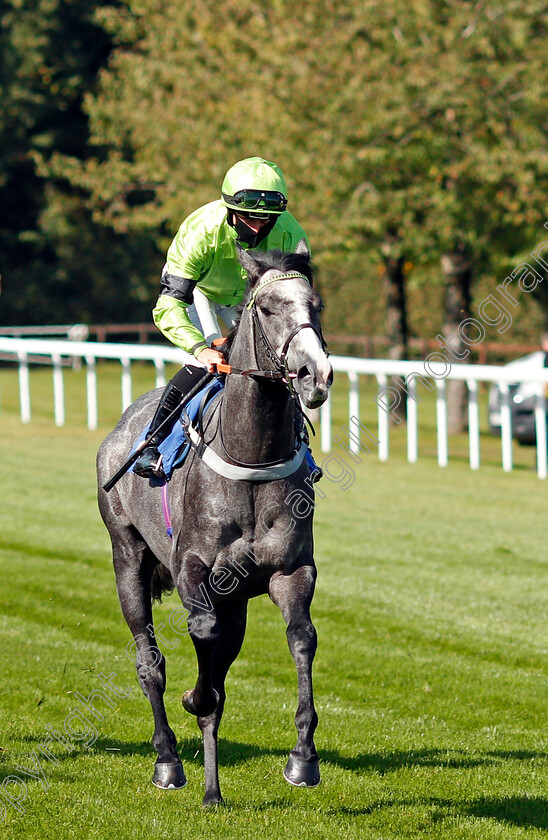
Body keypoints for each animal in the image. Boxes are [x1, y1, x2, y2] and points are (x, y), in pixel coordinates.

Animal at [96, 240, 332, 804]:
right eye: (266, 308)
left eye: (316, 305)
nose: (315, 374)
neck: (251, 456)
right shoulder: (192, 570)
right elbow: (203, 641)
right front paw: (195, 702)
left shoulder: (289, 571)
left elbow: (301, 637)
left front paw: (303, 757)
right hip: (127, 555)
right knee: (150, 663)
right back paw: (169, 761)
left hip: (235, 595)